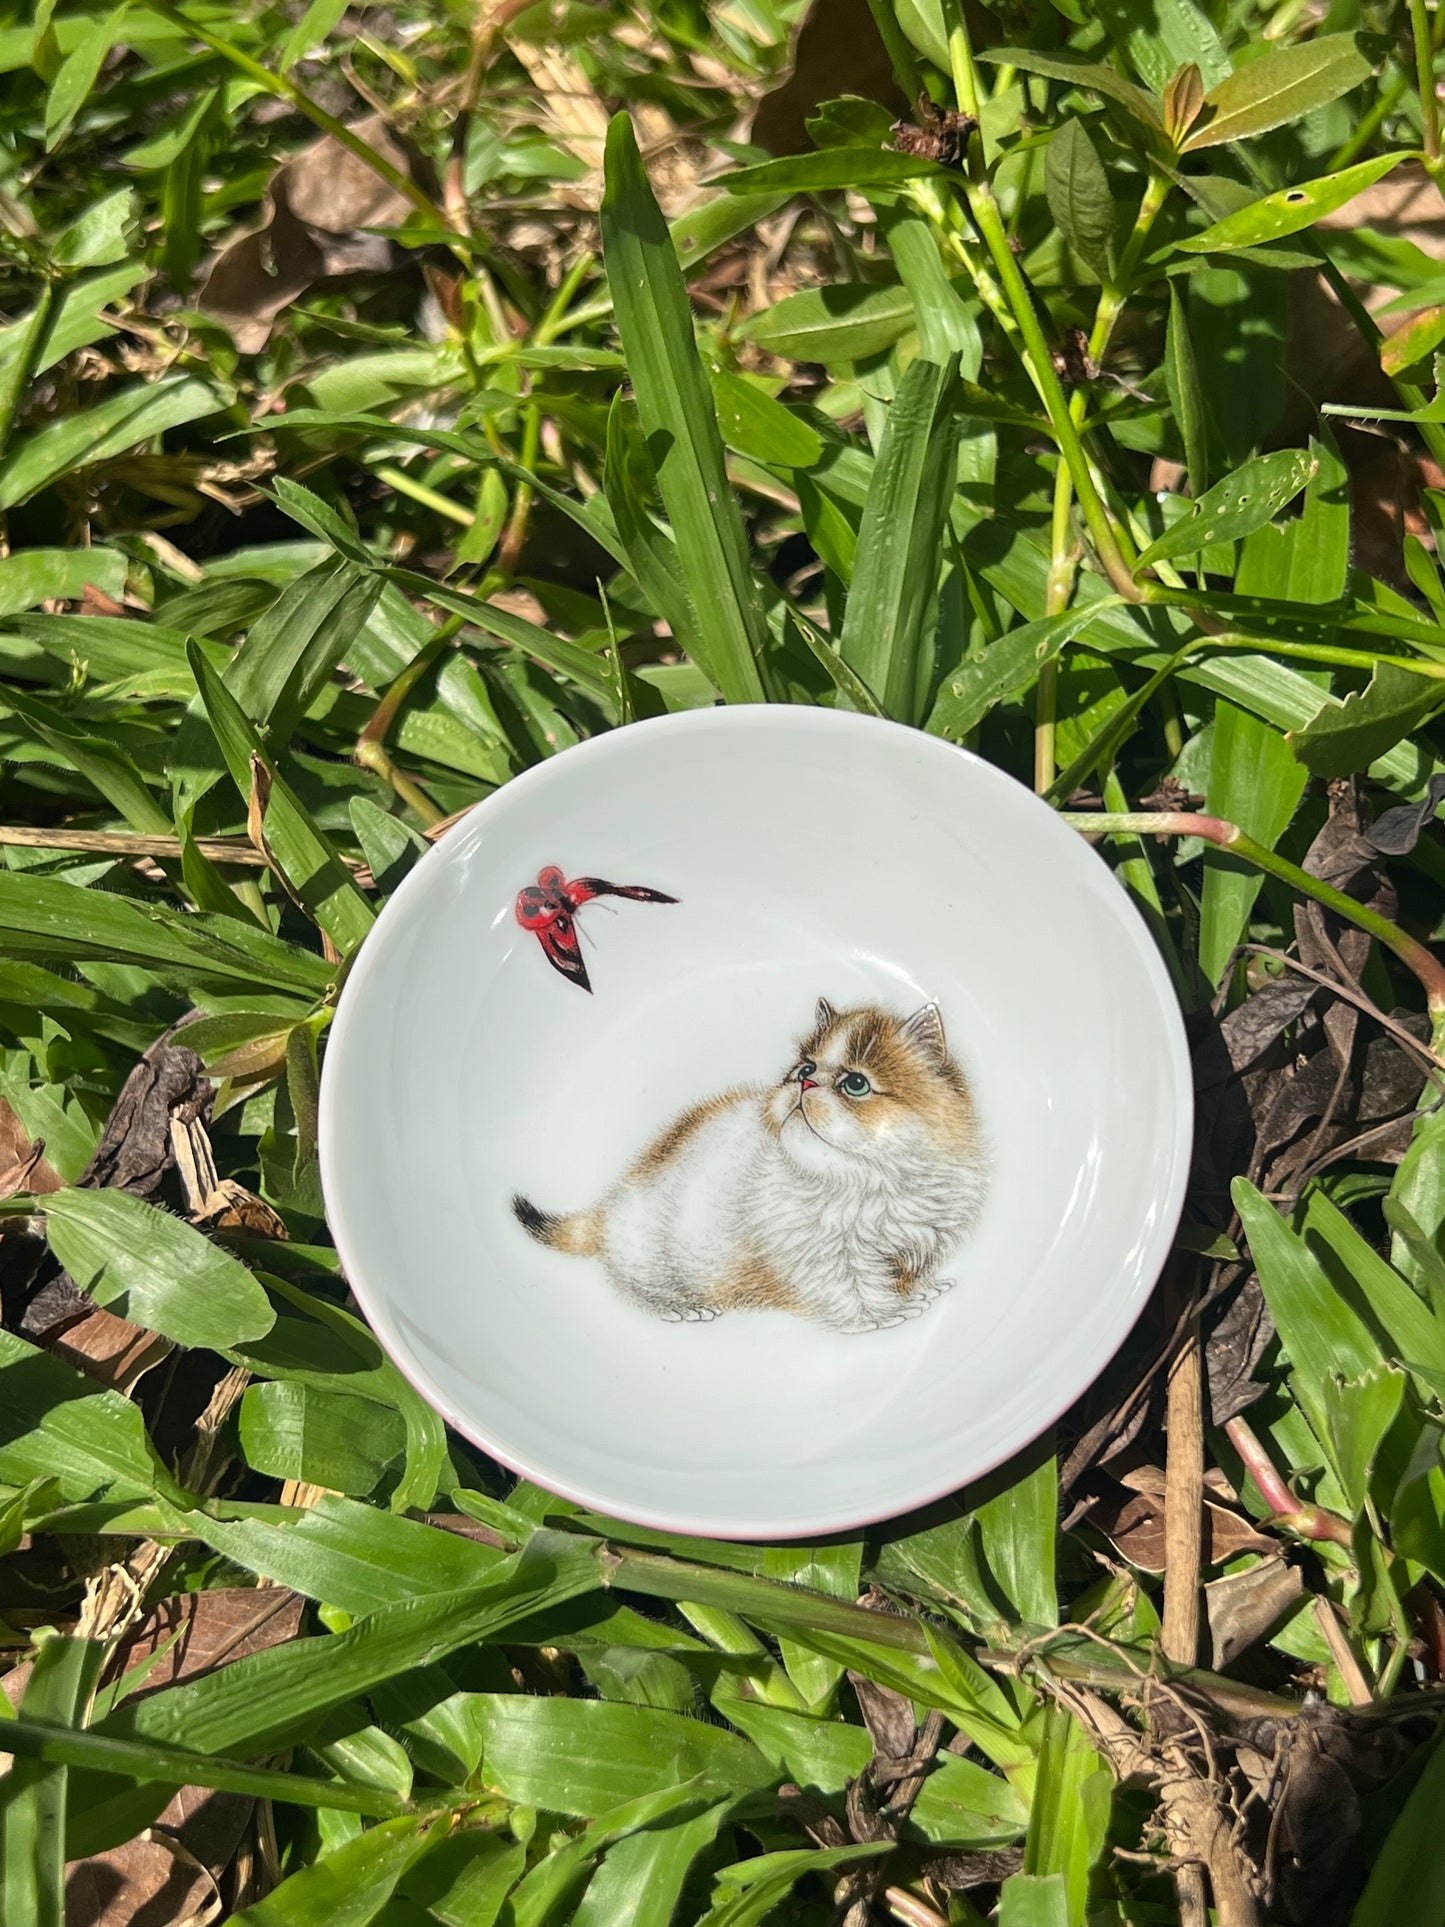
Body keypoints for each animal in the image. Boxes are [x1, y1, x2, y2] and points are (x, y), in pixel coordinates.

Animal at [512, 1002, 994, 1333]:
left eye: (855, 1084)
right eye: (804, 1067)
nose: (804, 1082)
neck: (869, 1181)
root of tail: (610, 1205)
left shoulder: (923, 1239)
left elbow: (911, 1271)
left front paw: (921, 1291)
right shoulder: (824, 1260)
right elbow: (854, 1292)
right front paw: (886, 1316)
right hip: (647, 1253)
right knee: (633, 1285)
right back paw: (682, 1307)